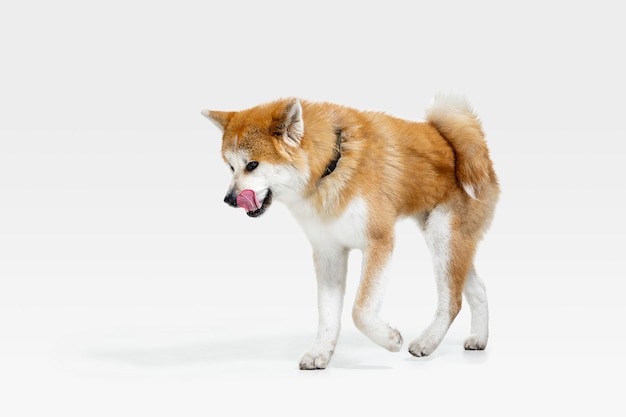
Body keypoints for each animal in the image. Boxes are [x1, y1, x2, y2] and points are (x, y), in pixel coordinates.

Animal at [202, 93, 500, 368]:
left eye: (252, 165)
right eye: (231, 167)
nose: (229, 199)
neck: (331, 165)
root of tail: (479, 151)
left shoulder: (379, 242)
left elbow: (360, 311)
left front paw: (390, 339)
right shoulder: (329, 253)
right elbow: (328, 315)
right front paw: (320, 352)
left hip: (442, 238)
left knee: (452, 301)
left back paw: (426, 342)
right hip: (447, 242)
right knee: (478, 290)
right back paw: (479, 339)